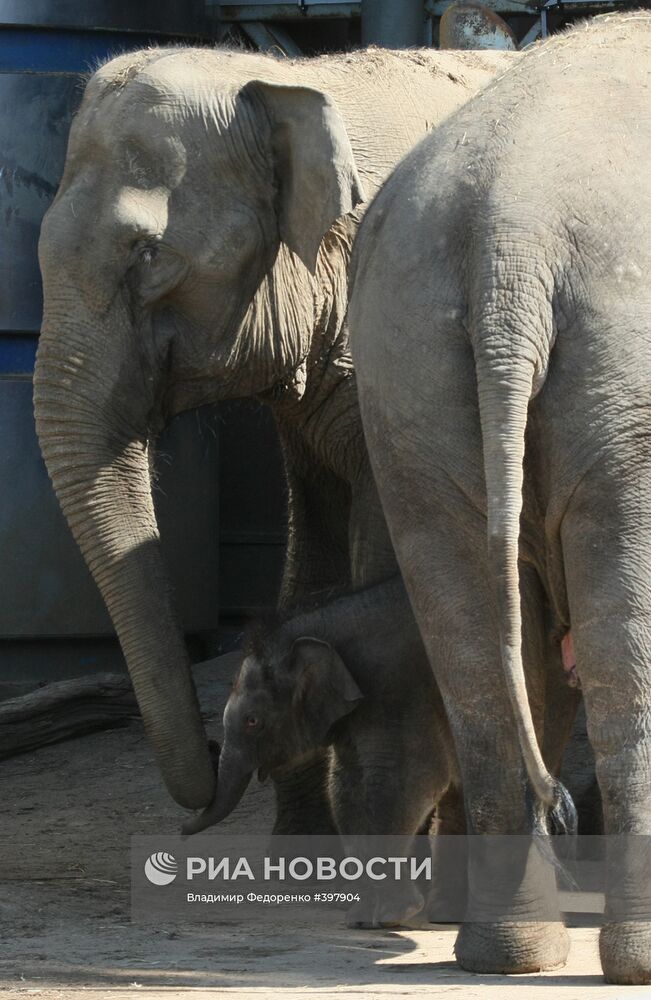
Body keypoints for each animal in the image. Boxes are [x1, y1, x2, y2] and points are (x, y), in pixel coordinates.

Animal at [182, 576, 464, 924]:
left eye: (252, 720)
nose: (181, 831)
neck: (323, 624)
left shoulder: (399, 690)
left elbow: (405, 780)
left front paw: (391, 915)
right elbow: (345, 785)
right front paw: (361, 918)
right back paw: (450, 914)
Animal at [352, 11, 651, 988]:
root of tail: (507, 238)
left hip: (403, 371)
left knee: (476, 648)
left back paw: (505, 956)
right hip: (619, 383)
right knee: (619, 651)